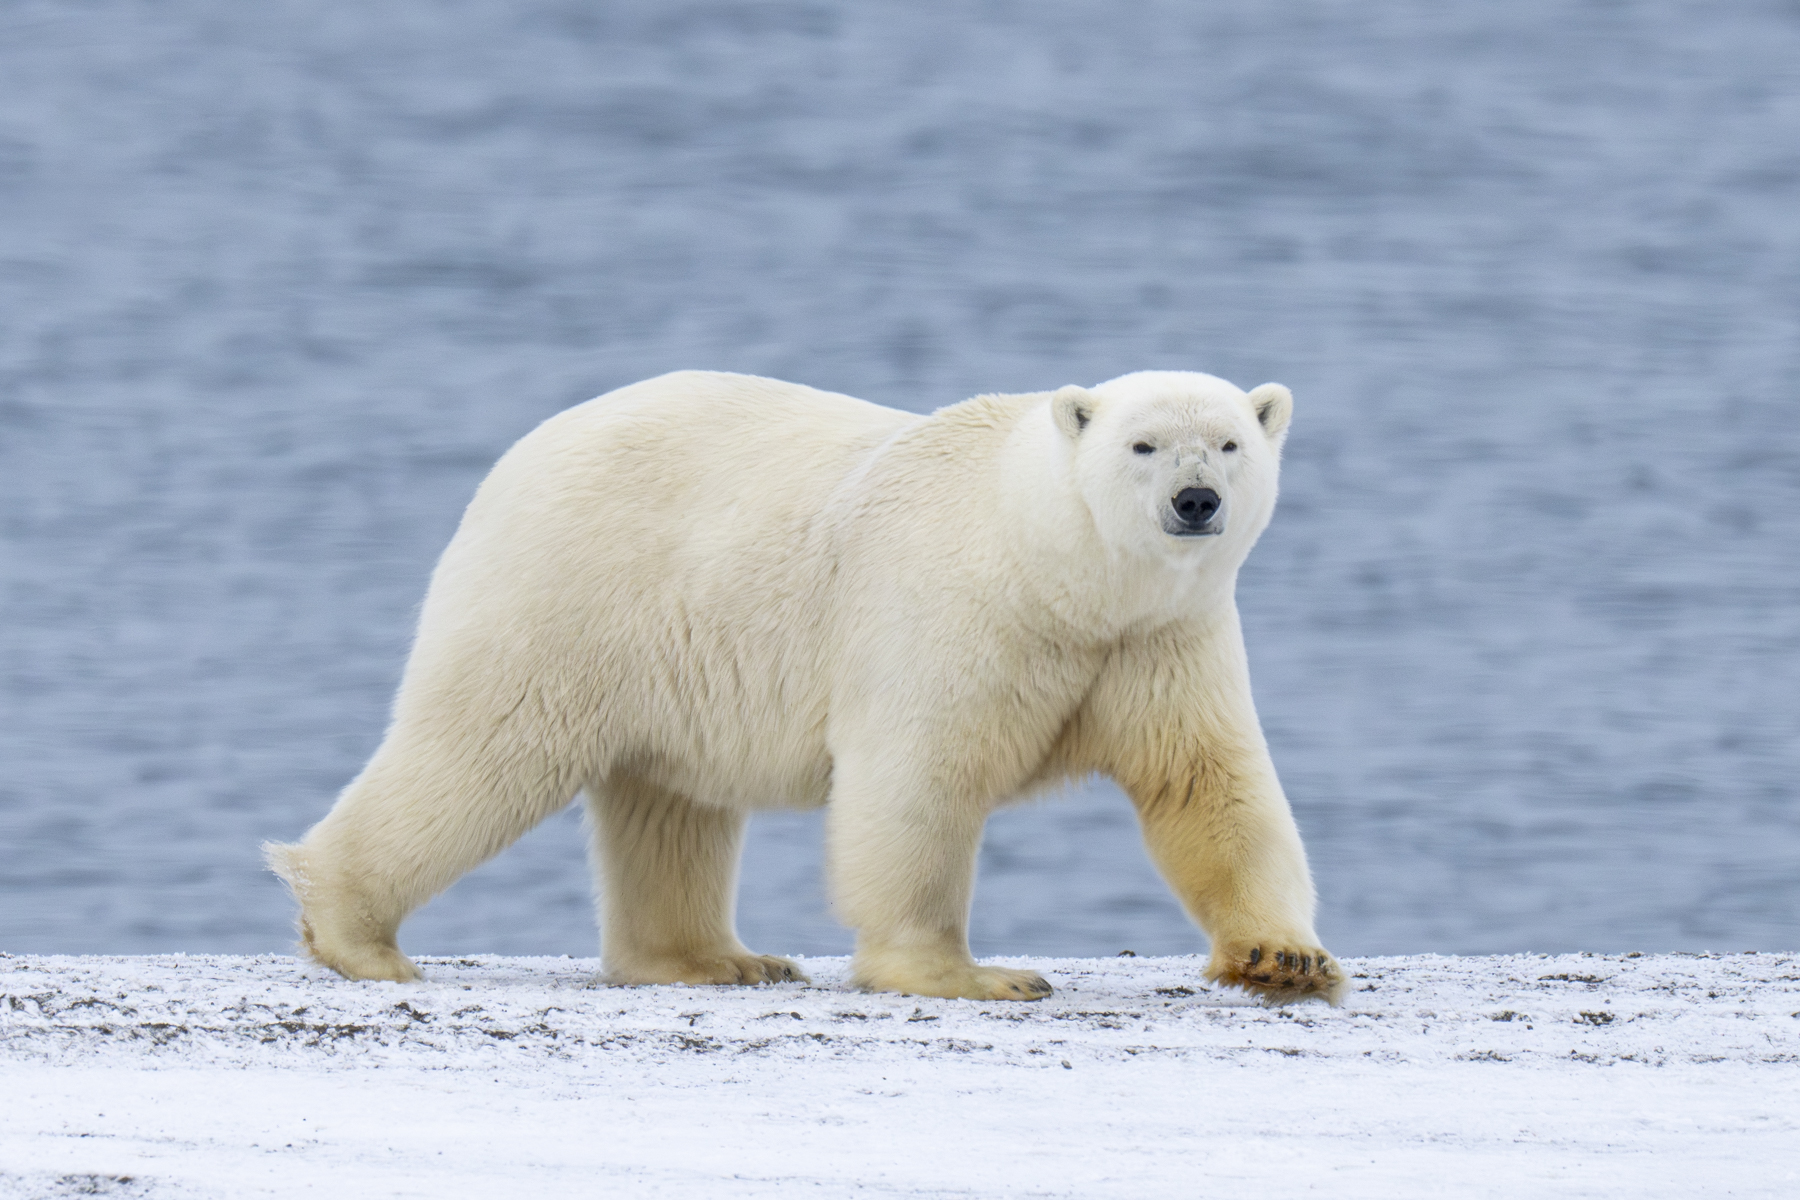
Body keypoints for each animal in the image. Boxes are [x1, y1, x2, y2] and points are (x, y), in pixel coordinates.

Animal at [266, 369, 1342, 1004]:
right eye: (1142, 446)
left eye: (1231, 444)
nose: (1195, 501)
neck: (1055, 573)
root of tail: (518, 454)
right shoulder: (954, 616)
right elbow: (918, 784)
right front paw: (968, 974)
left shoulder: (1158, 642)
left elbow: (1209, 785)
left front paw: (1285, 957)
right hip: (571, 597)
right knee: (481, 752)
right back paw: (354, 931)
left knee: (668, 806)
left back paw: (717, 957)